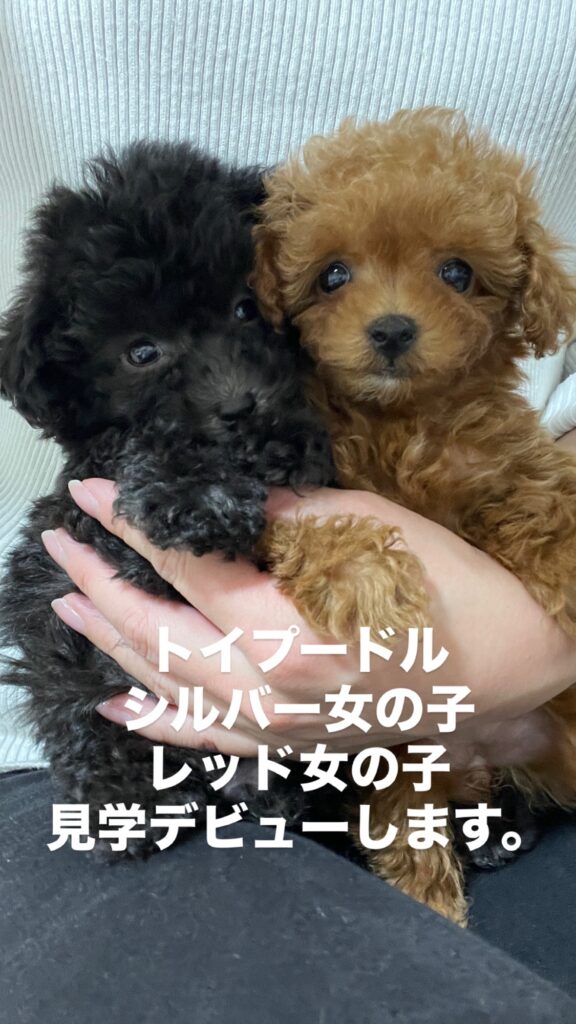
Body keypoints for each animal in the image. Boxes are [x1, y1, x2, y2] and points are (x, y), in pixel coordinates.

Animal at [0, 139, 396, 855]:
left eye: (245, 308)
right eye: (141, 353)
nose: (240, 407)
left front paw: (280, 442)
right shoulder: (85, 514)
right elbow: (140, 467)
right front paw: (200, 495)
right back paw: (126, 803)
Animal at [254, 107, 576, 924]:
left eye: (457, 273)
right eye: (333, 274)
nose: (393, 330)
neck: (401, 420)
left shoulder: (504, 467)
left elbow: (547, 505)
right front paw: (366, 583)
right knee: (408, 808)